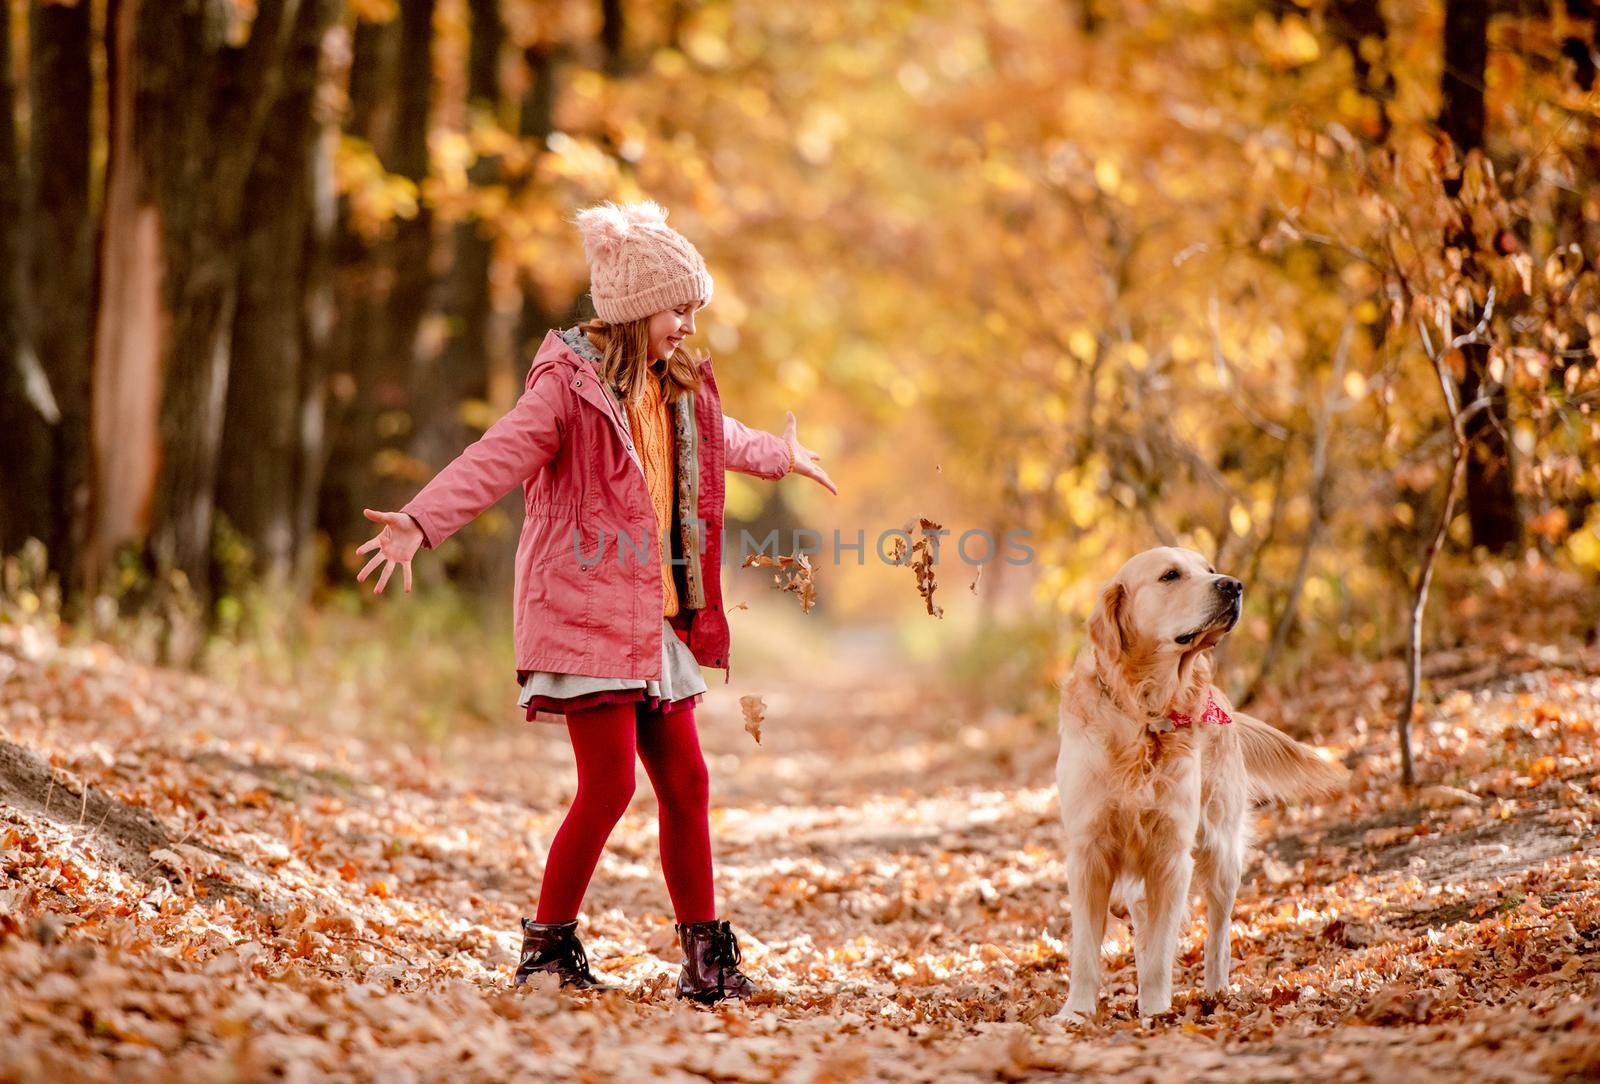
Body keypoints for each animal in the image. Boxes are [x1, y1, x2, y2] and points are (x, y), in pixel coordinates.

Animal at [1056, 546, 1344, 1023]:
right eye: (1170, 576)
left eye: (1209, 569)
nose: (1233, 585)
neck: (1146, 713)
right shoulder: (1087, 853)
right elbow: (1085, 952)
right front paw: (1076, 1013)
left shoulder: (1172, 855)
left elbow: (1162, 953)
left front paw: (1156, 1012)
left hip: (1222, 853)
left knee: (1218, 936)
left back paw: (1216, 992)